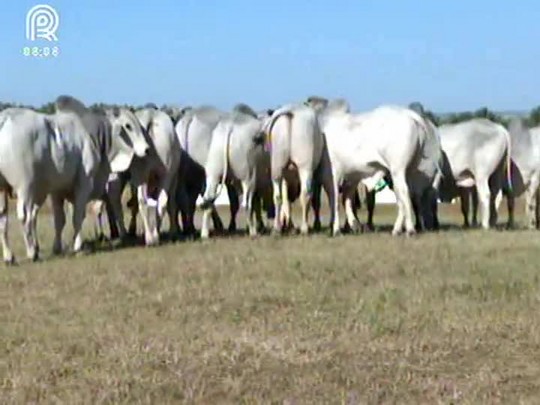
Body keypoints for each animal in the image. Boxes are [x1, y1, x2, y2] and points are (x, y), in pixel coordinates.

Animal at [0, 96, 150, 264]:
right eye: (128, 126)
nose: (146, 149)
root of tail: (4, 118)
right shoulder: (83, 185)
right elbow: (78, 216)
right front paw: (78, 246)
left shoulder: (57, 191)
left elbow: (60, 220)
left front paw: (57, 248)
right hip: (25, 187)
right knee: (25, 216)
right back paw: (32, 252)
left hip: (3, 189)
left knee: (3, 216)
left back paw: (9, 257)